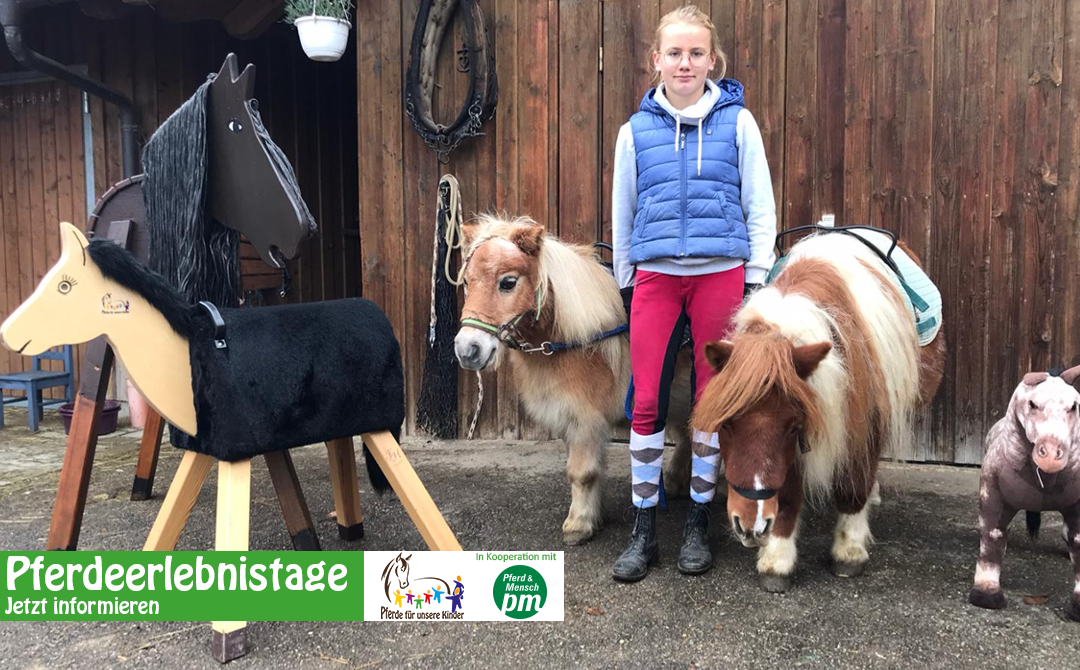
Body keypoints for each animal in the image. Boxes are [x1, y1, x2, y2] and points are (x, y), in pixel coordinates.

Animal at [453, 215, 691, 544]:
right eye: (466, 281)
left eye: (508, 282)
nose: (468, 349)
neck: (575, 338)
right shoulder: (571, 420)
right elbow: (593, 468)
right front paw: (596, 515)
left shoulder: (584, 419)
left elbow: (581, 472)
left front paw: (578, 524)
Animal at [691, 231, 946, 592]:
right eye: (726, 425)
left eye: (791, 426)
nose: (750, 526)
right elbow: (787, 496)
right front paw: (777, 560)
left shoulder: (862, 427)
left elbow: (853, 487)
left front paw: (849, 551)